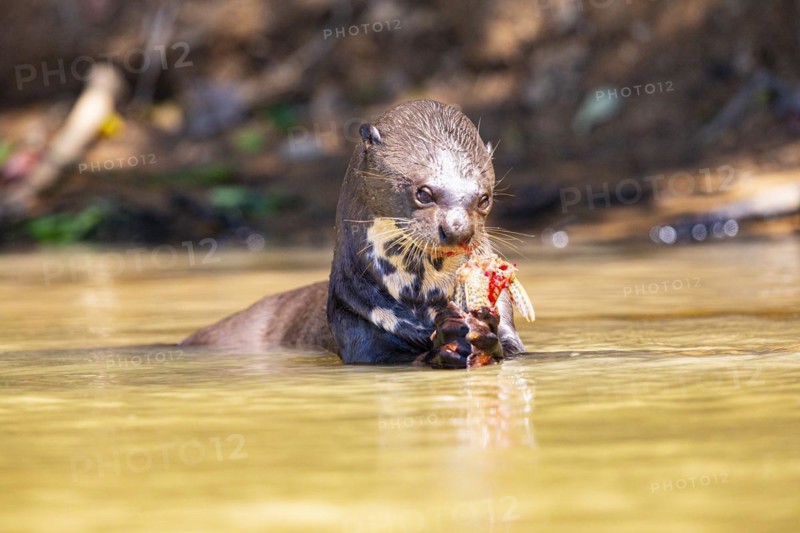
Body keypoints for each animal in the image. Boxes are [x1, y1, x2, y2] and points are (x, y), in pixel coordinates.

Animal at [181, 100, 526, 367]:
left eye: (484, 198)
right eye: (424, 193)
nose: (459, 230)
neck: (421, 303)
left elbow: (512, 347)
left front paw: (483, 332)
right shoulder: (358, 327)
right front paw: (447, 341)